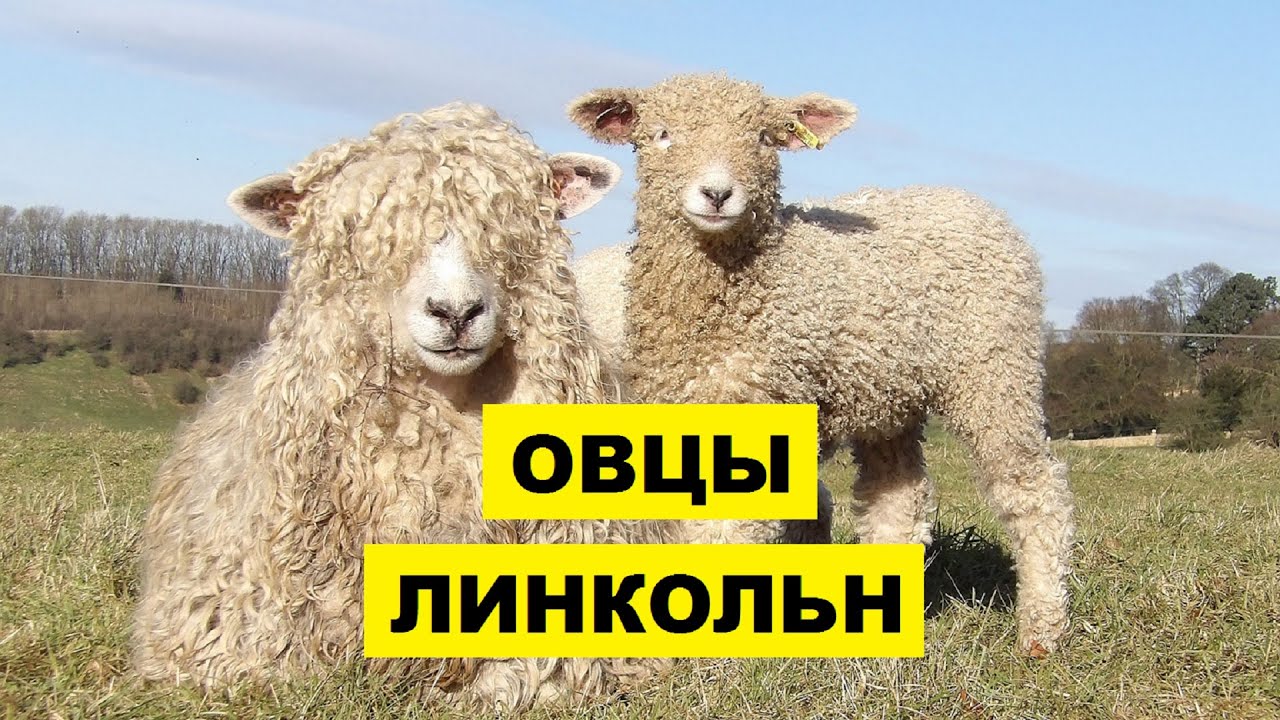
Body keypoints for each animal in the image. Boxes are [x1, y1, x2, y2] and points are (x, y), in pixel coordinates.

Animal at [567, 73, 1076, 656]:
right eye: (661, 134)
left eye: (764, 138)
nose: (717, 194)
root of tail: (971, 201)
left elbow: (728, 531)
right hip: (888, 394)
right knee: (896, 497)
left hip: (996, 367)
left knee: (1033, 490)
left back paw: (1041, 628)